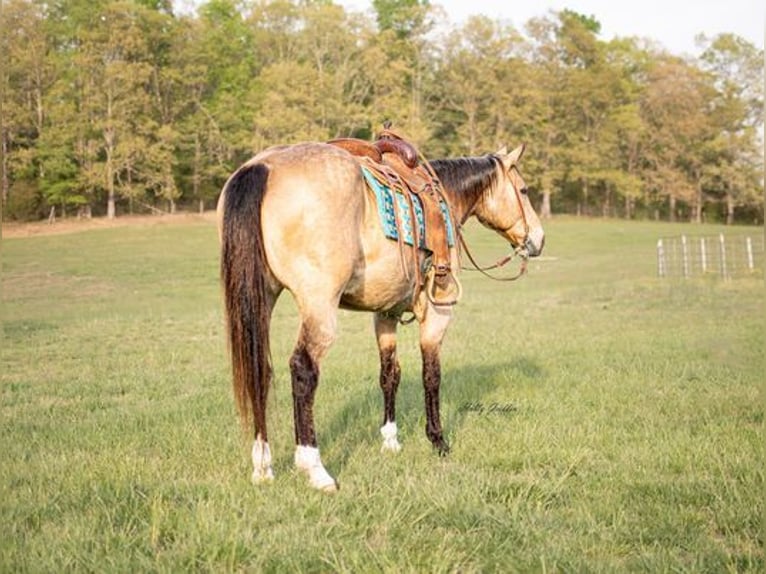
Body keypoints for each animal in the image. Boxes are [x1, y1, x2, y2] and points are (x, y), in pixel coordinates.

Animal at [218, 137, 544, 492]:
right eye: (524, 190)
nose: (538, 239)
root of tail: (263, 166)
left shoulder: (385, 313)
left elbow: (390, 374)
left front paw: (390, 440)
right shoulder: (438, 311)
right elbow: (432, 374)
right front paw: (438, 440)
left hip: (261, 297)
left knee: (259, 370)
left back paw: (263, 466)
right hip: (319, 308)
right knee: (302, 370)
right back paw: (314, 467)